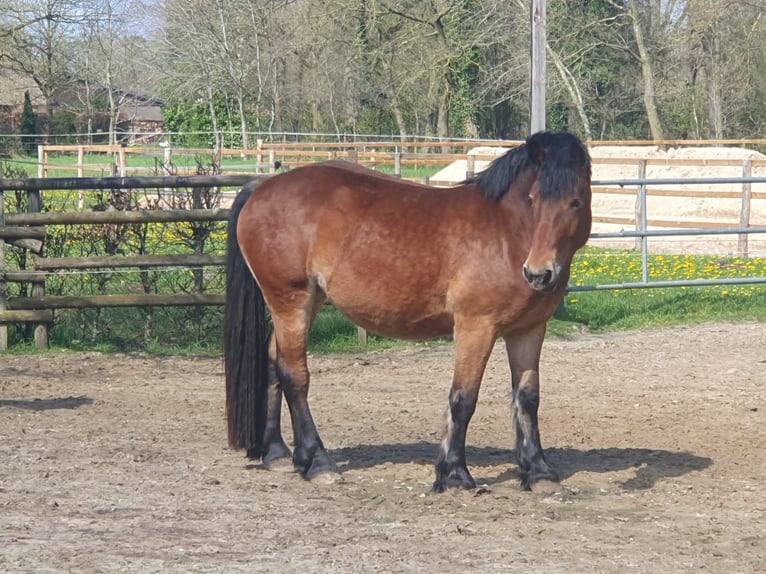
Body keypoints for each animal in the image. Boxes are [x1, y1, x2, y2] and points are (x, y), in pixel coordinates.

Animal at [222, 132, 592, 496]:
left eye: (575, 201)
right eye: (532, 199)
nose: (539, 273)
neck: (507, 233)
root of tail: (263, 187)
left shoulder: (528, 330)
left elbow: (527, 398)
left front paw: (538, 472)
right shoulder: (476, 327)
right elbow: (463, 398)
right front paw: (454, 474)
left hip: (306, 303)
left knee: (274, 362)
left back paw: (279, 454)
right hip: (291, 300)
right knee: (294, 375)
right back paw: (318, 462)